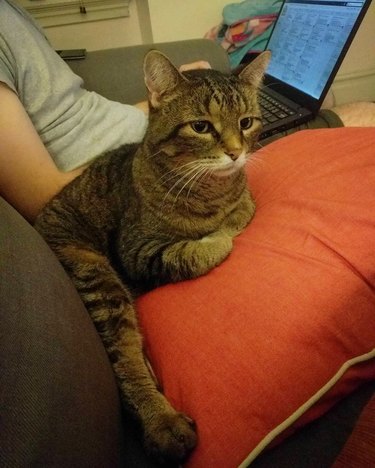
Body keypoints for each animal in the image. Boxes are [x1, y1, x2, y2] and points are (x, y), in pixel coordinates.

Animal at [34, 49, 270, 462]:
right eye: (201, 127)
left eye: (246, 122)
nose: (236, 153)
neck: (210, 191)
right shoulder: (138, 251)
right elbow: (200, 249)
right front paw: (218, 237)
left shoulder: (243, 200)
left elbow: (243, 208)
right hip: (99, 278)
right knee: (125, 360)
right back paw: (163, 422)